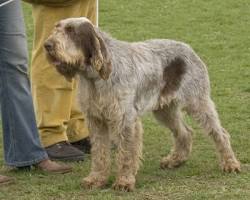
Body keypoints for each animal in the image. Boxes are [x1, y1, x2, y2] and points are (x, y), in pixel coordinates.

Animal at [44, 17, 240, 191]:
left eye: (71, 31)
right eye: (56, 28)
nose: (47, 45)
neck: (94, 78)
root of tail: (188, 48)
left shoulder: (126, 120)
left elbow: (126, 155)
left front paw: (124, 182)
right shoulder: (96, 121)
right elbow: (100, 154)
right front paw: (96, 179)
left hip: (198, 102)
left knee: (220, 134)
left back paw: (230, 164)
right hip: (164, 110)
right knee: (185, 132)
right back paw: (175, 160)